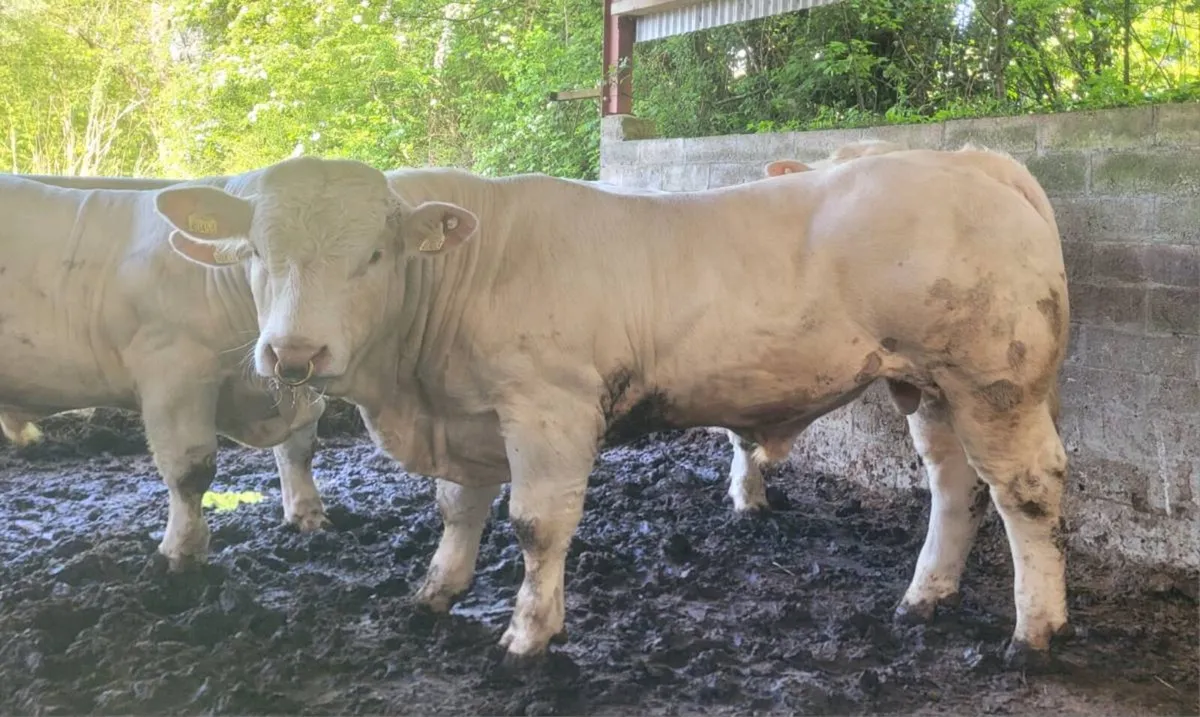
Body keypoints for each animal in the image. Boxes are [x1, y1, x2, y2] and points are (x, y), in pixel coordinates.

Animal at [0, 174, 331, 570]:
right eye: (260, 252)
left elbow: (300, 447)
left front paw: (308, 515)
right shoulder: (175, 376)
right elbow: (191, 470)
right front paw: (183, 553)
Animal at [149, 147, 1071, 670]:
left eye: (374, 254)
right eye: (256, 252)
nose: (294, 354)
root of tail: (972, 160)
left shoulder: (548, 407)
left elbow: (536, 525)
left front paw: (528, 637)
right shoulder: (467, 416)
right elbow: (457, 507)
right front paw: (434, 592)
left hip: (995, 379)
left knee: (1026, 490)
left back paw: (1032, 633)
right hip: (931, 386)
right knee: (955, 486)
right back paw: (924, 596)